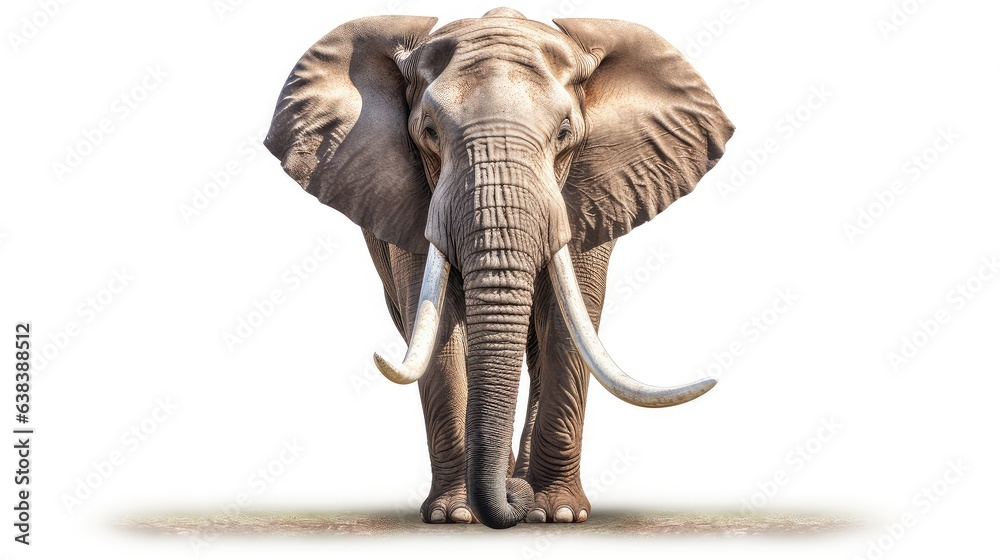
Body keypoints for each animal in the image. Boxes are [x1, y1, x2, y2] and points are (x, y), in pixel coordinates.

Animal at [264, 8, 734, 529]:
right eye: (429, 132)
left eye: (565, 133)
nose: (515, 498)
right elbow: (438, 328)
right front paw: (455, 514)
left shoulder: (596, 190)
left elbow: (571, 324)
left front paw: (559, 513)